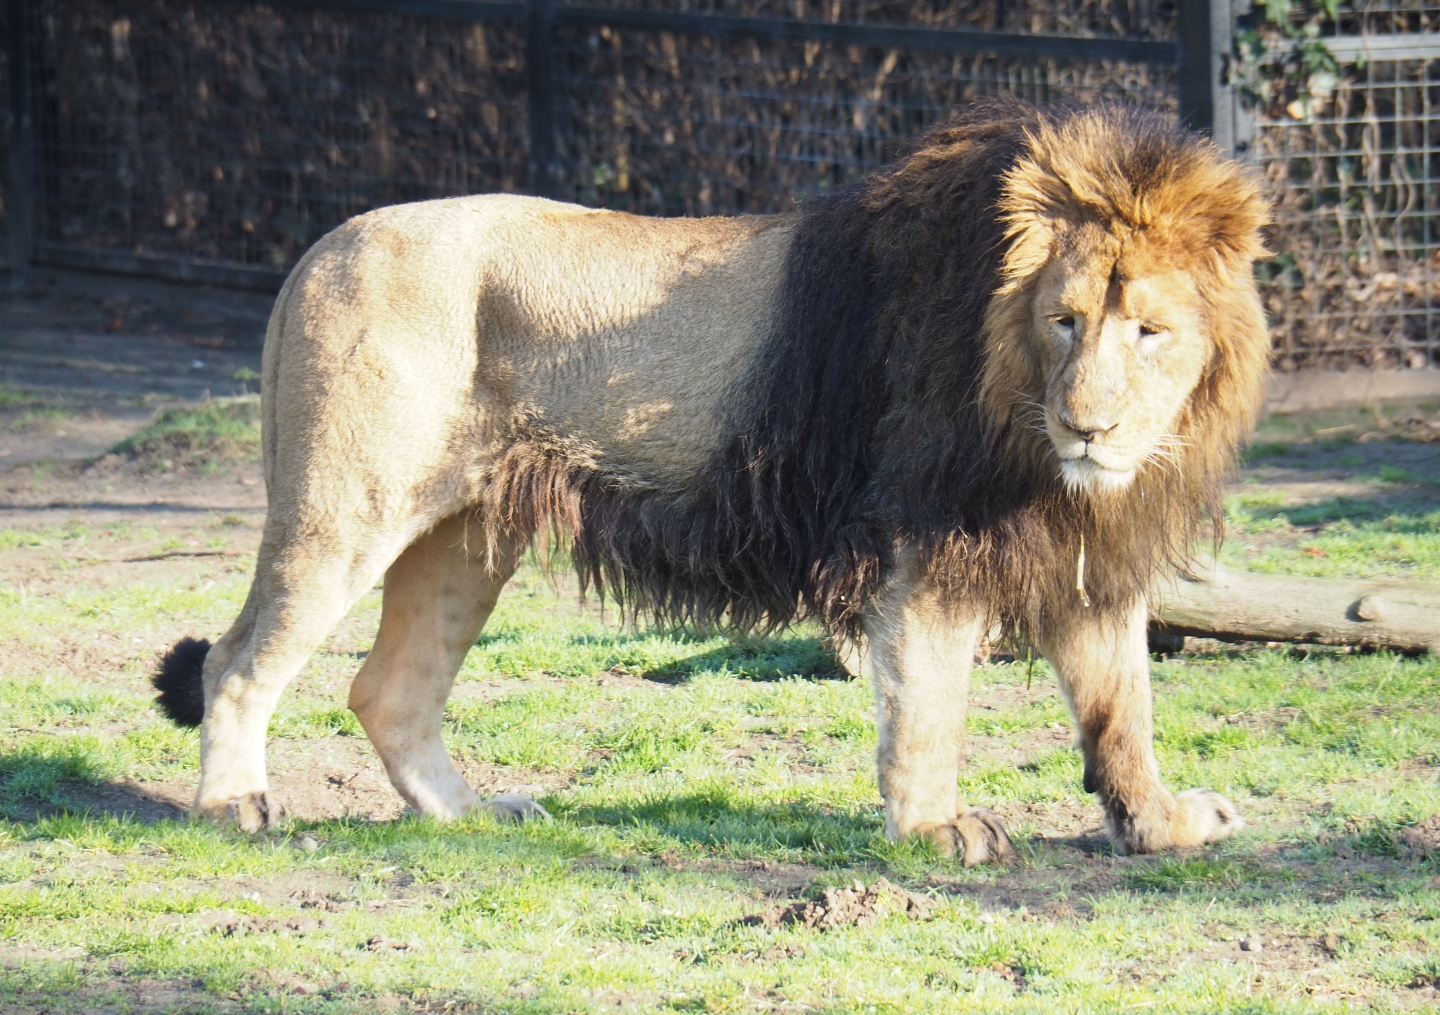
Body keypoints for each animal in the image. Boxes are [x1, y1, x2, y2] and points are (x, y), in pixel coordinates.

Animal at [153, 99, 1271, 862]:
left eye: (1149, 330)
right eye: (1065, 320)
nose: (1090, 426)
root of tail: (319, 248)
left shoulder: (1089, 555)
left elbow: (1121, 708)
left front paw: (1162, 822)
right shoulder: (924, 537)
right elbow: (930, 701)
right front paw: (933, 828)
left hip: (464, 534)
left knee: (389, 689)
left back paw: (473, 813)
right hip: (347, 510)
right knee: (240, 660)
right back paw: (233, 804)